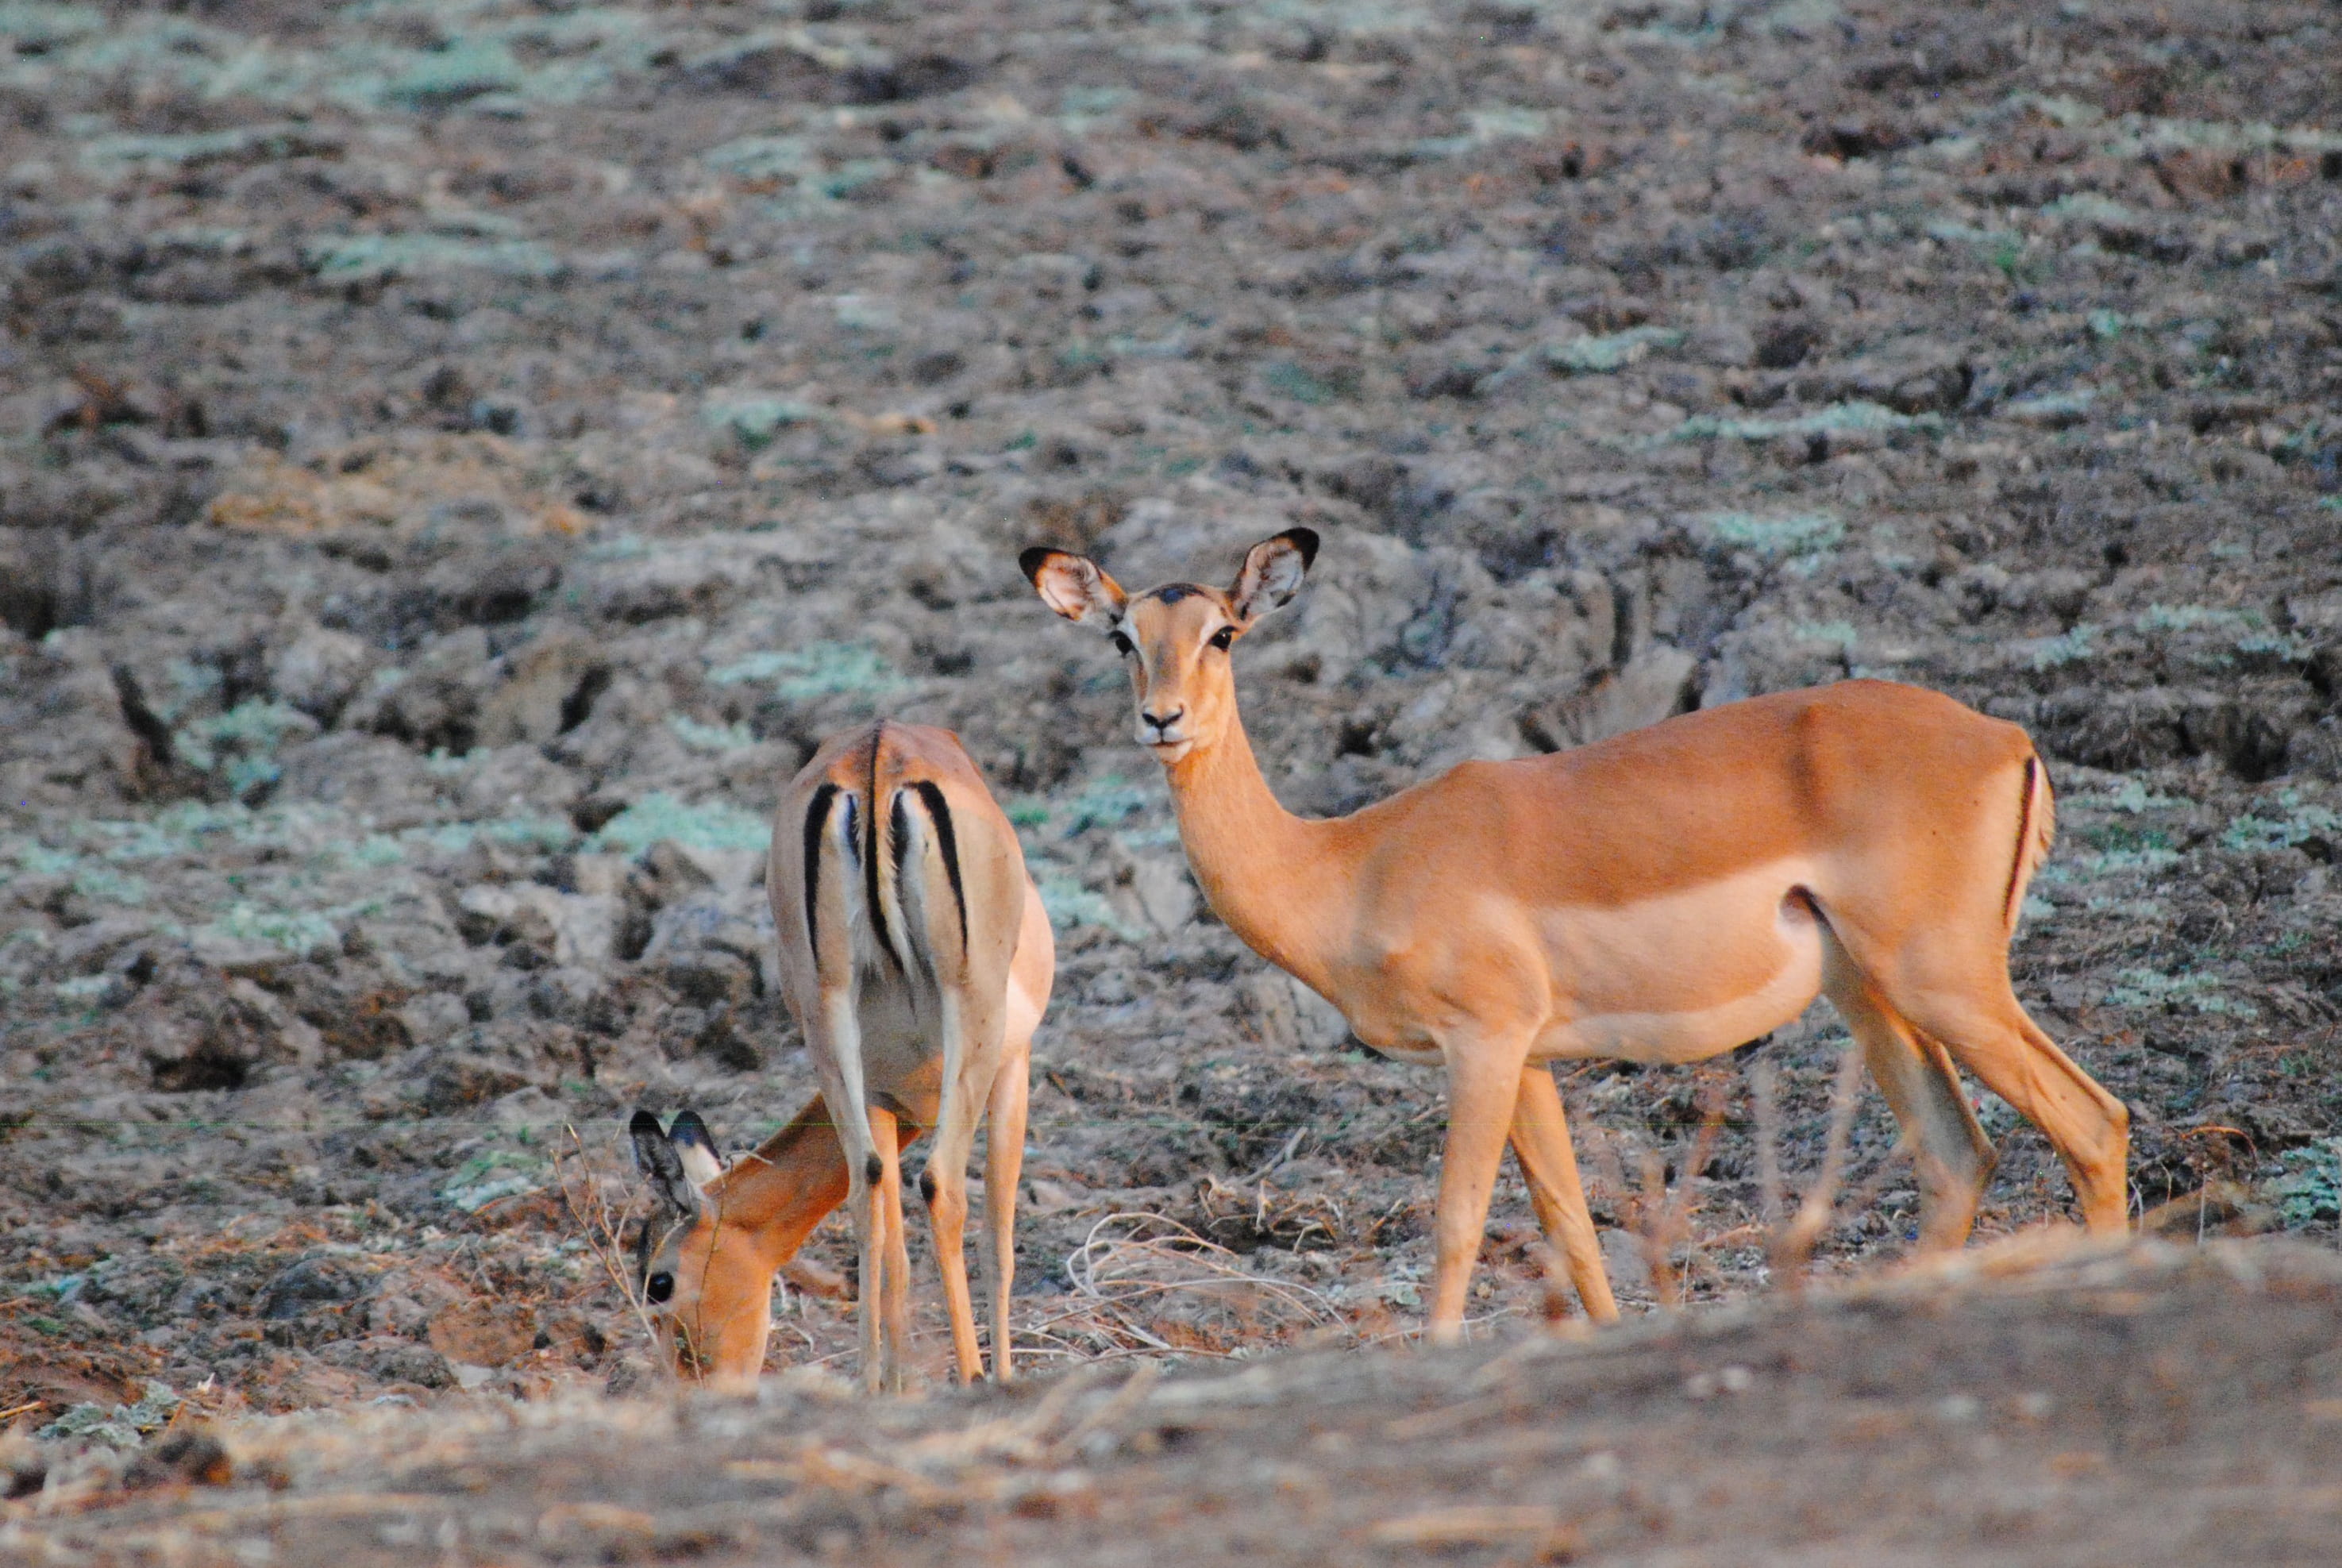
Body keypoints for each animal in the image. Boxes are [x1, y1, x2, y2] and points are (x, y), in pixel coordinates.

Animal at [633, 721, 1053, 1393]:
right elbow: (996, 1239)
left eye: (660, 1281)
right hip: (961, 1022)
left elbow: (898, 1252)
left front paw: (896, 1386)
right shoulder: (1006, 1069)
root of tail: (875, 755)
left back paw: (872, 1380)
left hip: (828, 1021)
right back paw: (969, 1375)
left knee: (865, 1187)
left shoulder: (891, 1096)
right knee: (941, 1184)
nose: (692, 1386)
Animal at [1021, 527, 2129, 1341]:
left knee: (2093, 1122)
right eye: (1122, 637)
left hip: (1945, 983)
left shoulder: (1481, 1043)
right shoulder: (1534, 1061)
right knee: (1957, 1156)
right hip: (1872, 999)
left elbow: (1458, 1220)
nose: (1162, 720)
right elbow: (1571, 1221)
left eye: (1223, 632)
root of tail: (2004, 739)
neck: (1351, 860)